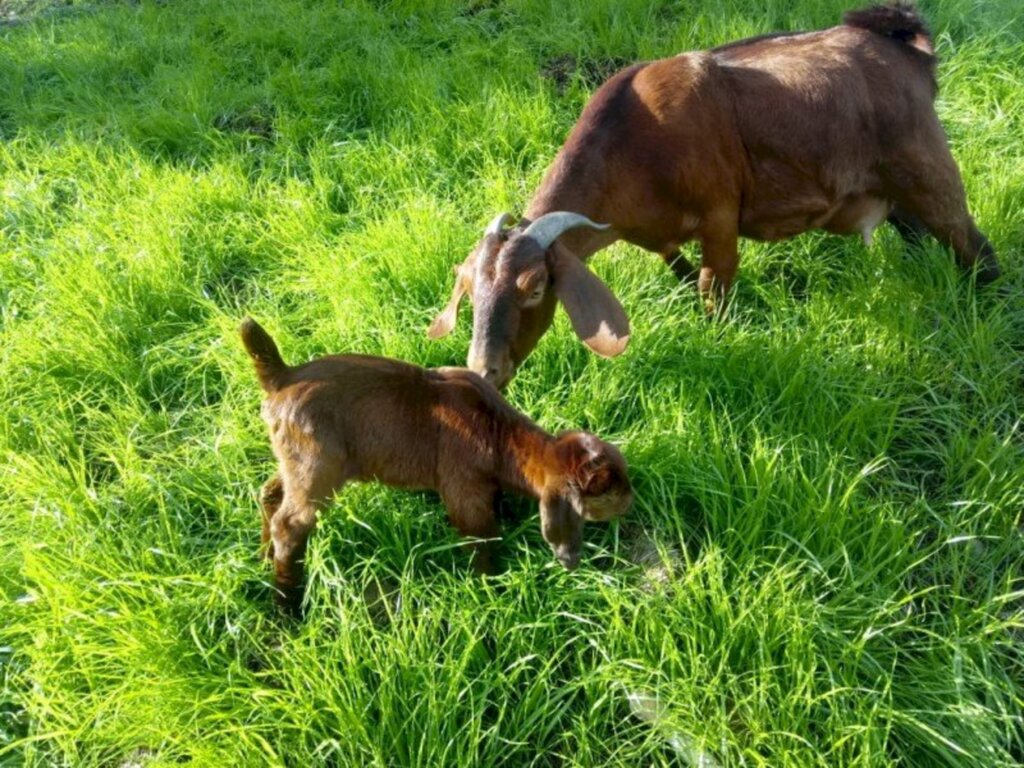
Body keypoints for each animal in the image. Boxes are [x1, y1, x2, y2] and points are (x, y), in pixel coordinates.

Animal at [430, 4, 999, 391]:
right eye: (470, 291)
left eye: (533, 288)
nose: (483, 371)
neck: (635, 140)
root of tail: (906, 49)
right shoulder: (657, 233)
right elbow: (681, 272)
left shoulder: (720, 216)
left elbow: (712, 288)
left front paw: (719, 341)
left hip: (927, 169)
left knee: (974, 246)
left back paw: (986, 306)